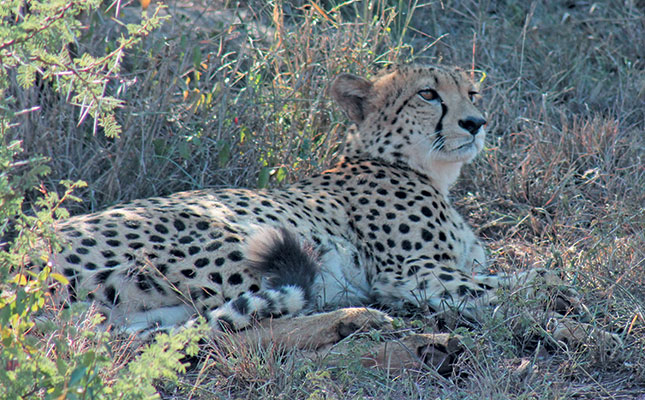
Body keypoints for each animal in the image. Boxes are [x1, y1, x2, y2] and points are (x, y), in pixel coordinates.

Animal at [49, 65, 620, 360]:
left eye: (472, 92)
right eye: (428, 94)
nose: (476, 122)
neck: (422, 168)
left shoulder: (443, 271)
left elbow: (525, 279)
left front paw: (566, 306)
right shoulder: (410, 274)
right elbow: (522, 288)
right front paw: (584, 328)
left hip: (151, 312)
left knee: (193, 334)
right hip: (234, 237)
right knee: (244, 332)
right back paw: (366, 322)